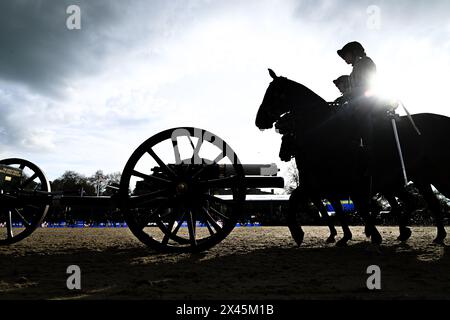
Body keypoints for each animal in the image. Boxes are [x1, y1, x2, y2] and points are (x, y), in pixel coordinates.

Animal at [255, 69, 448, 245]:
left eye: (272, 94)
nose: (259, 120)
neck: (325, 133)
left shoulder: (339, 186)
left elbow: (353, 210)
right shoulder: (323, 188)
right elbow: (306, 203)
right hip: (420, 178)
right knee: (426, 202)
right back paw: (432, 235)